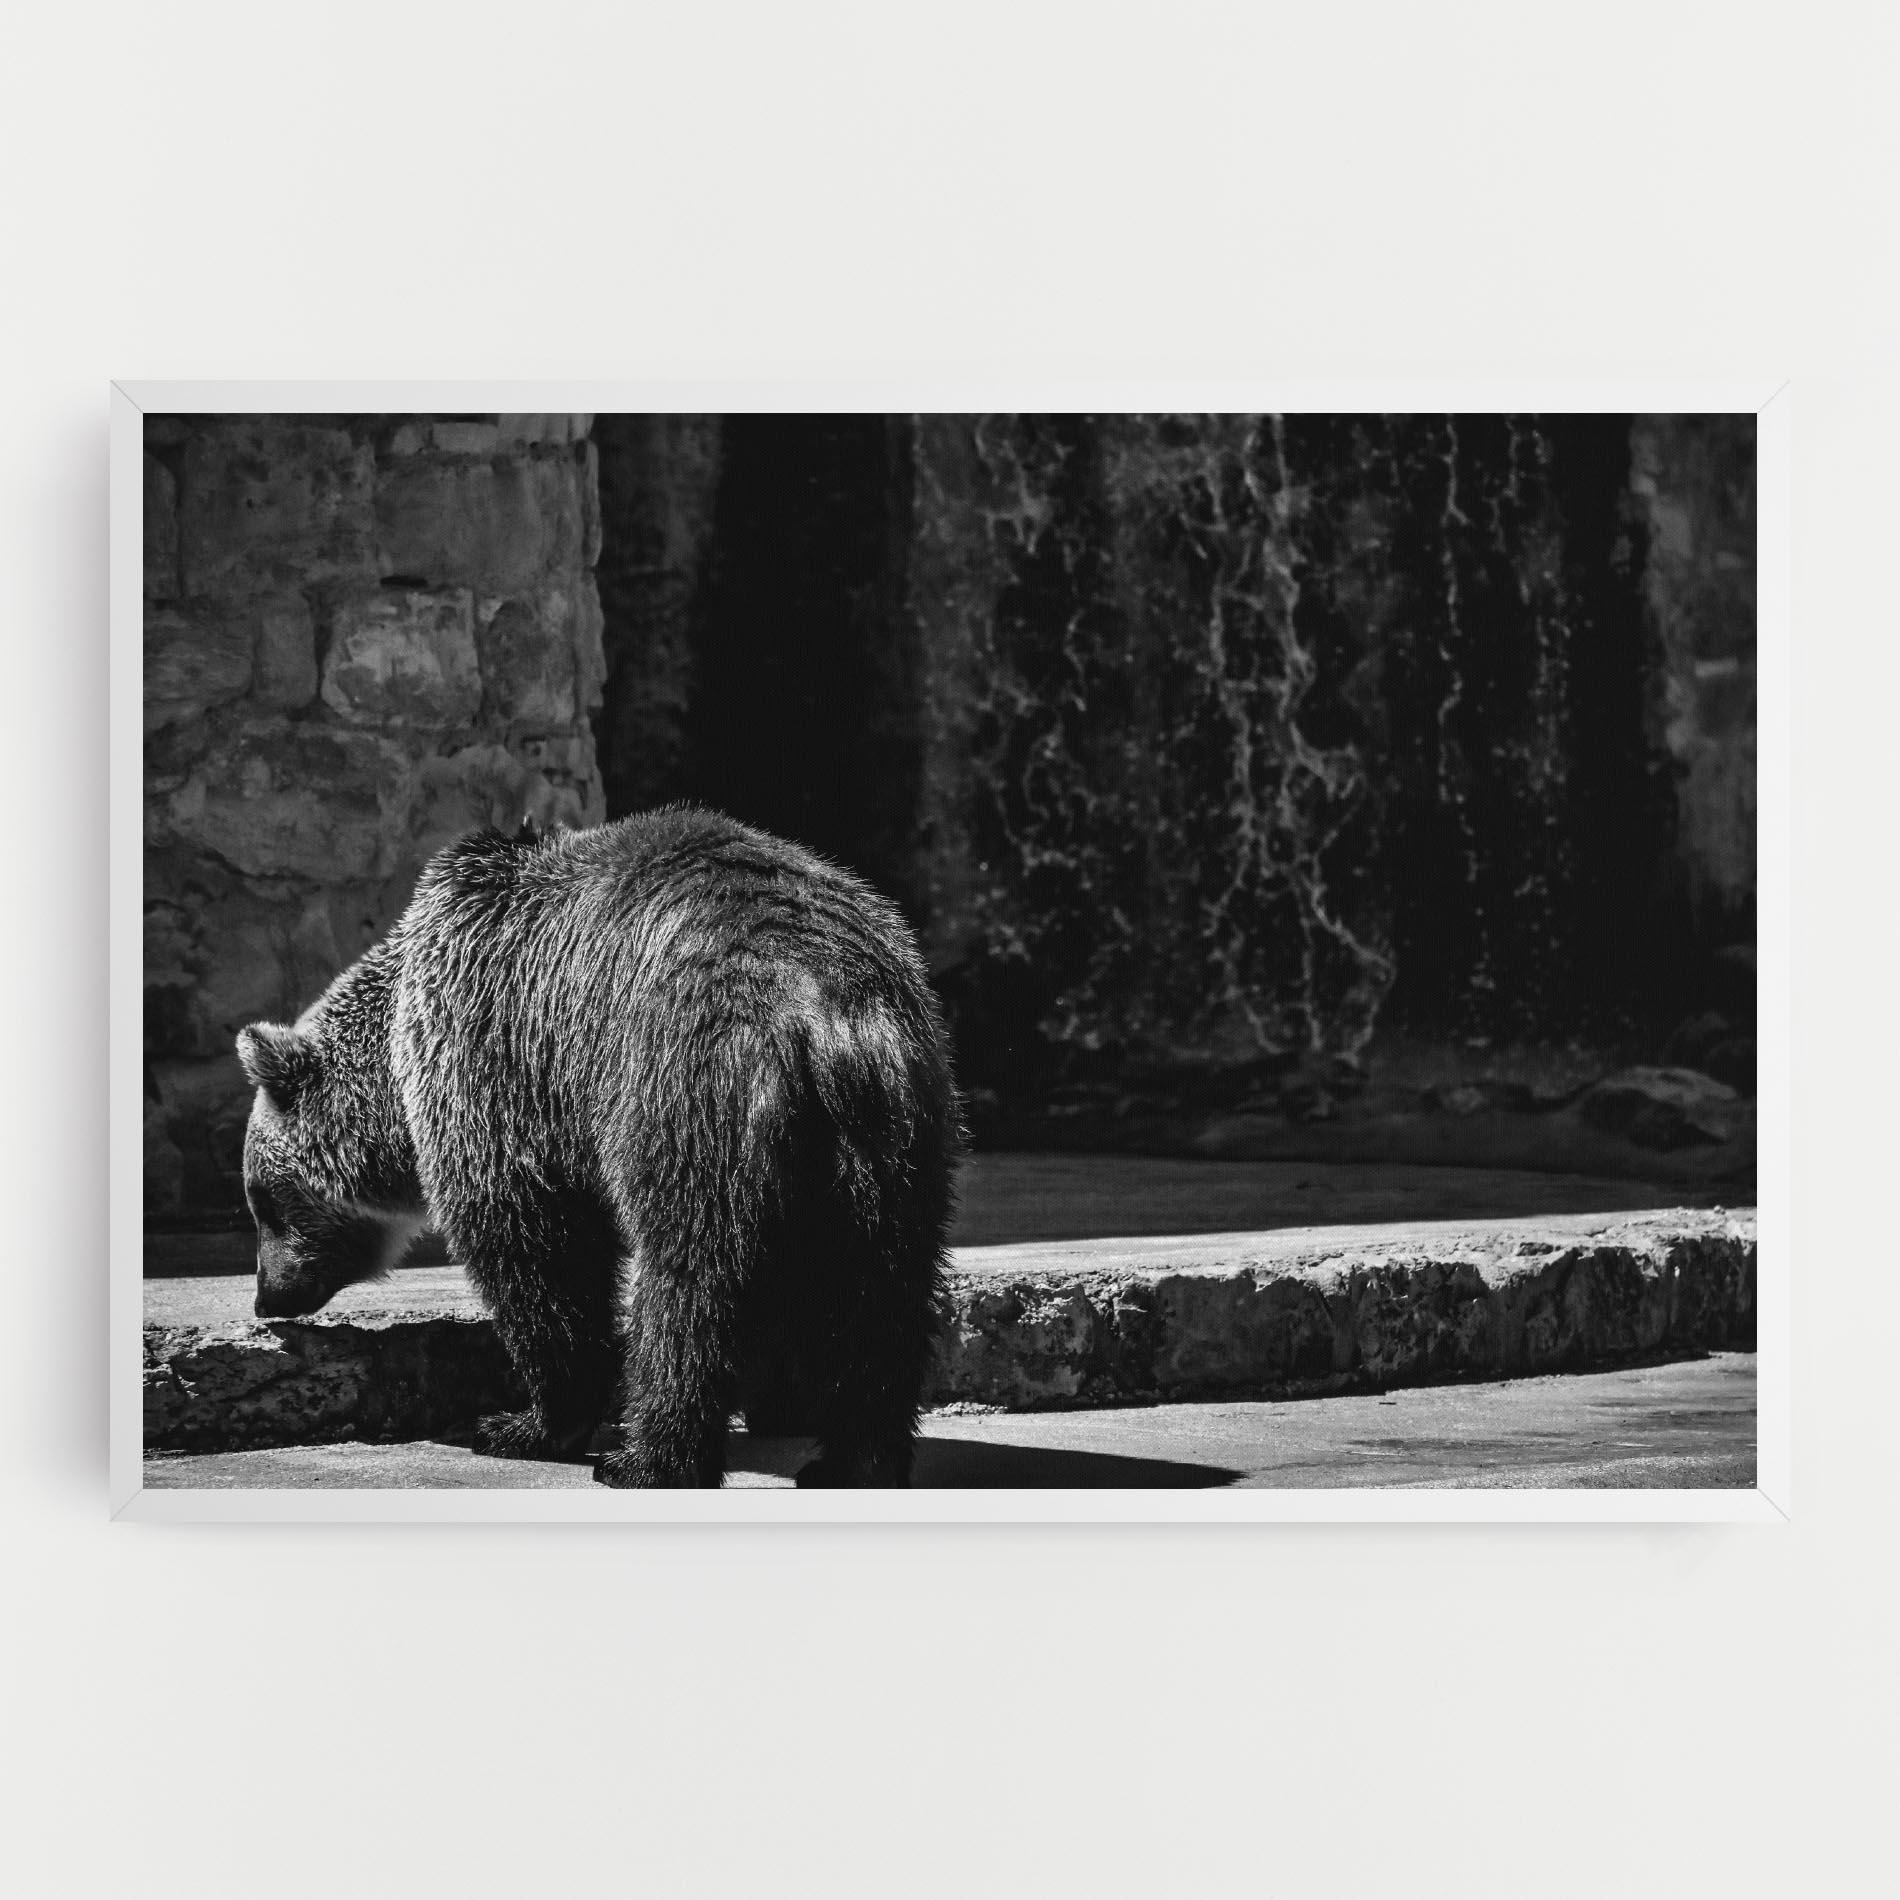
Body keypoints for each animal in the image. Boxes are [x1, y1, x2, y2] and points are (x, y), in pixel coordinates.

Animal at [235, 806, 961, 1488]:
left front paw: (520, 1423)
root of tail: (826, 1008)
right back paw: (854, 1462)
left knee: (691, 1285)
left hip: (689, 1090)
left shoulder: (502, 1060)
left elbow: (537, 1251)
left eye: (263, 1200)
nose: (267, 1297)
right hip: (897, 1132)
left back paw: (647, 1461)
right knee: (882, 1292)